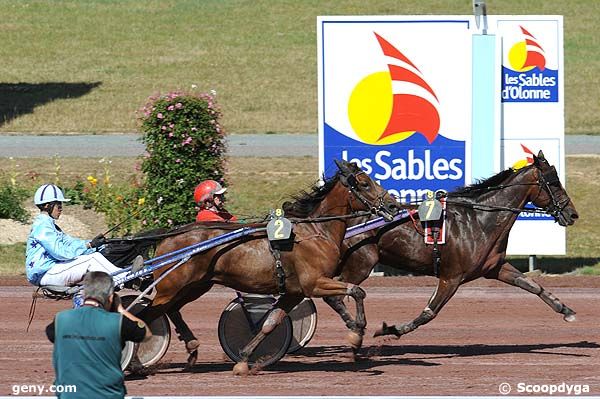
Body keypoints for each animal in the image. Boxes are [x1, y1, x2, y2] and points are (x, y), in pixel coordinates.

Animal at [140, 160, 398, 376]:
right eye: (365, 184)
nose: (393, 205)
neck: (316, 232)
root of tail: (168, 236)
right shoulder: (314, 283)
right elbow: (357, 291)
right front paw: (356, 333)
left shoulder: (294, 292)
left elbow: (269, 323)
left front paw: (244, 360)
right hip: (171, 287)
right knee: (145, 315)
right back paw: (136, 362)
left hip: (194, 286)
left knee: (171, 310)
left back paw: (191, 347)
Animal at [326, 150, 580, 340]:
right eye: (554, 183)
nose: (572, 214)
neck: (480, 219)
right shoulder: (452, 276)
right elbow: (429, 312)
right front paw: (392, 329)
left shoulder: (494, 267)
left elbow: (532, 285)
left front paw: (566, 310)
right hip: (360, 263)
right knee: (336, 294)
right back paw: (354, 327)